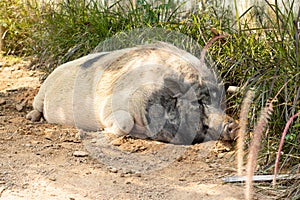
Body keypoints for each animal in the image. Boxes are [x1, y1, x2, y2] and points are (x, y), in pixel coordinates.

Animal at [26, 41, 237, 144]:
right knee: (37, 106)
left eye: (221, 104)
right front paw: (89, 134)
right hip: (43, 89)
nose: (233, 125)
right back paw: (31, 118)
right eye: (200, 101)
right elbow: (124, 123)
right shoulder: (112, 104)